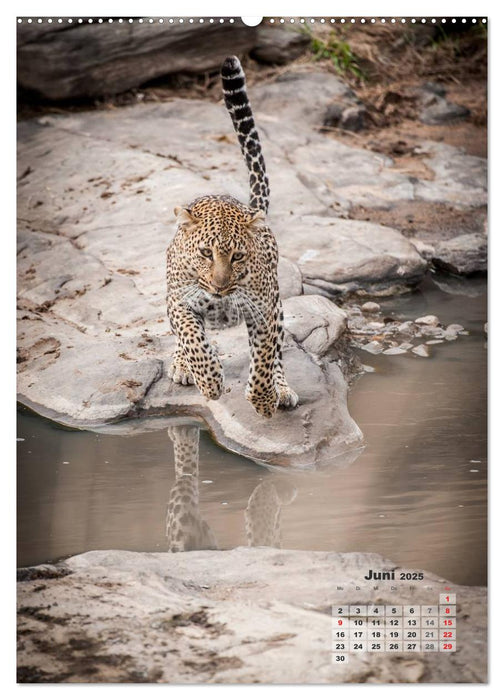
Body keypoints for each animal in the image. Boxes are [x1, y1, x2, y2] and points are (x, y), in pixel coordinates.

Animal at [165, 56, 300, 416]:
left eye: (238, 256)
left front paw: (264, 399)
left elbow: (264, 359)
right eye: (205, 253)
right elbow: (193, 341)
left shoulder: (265, 311)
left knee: (277, 353)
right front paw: (210, 381)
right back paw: (182, 365)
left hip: (277, 305)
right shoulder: (179, 303)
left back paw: (282, 388)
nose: (220, 286)